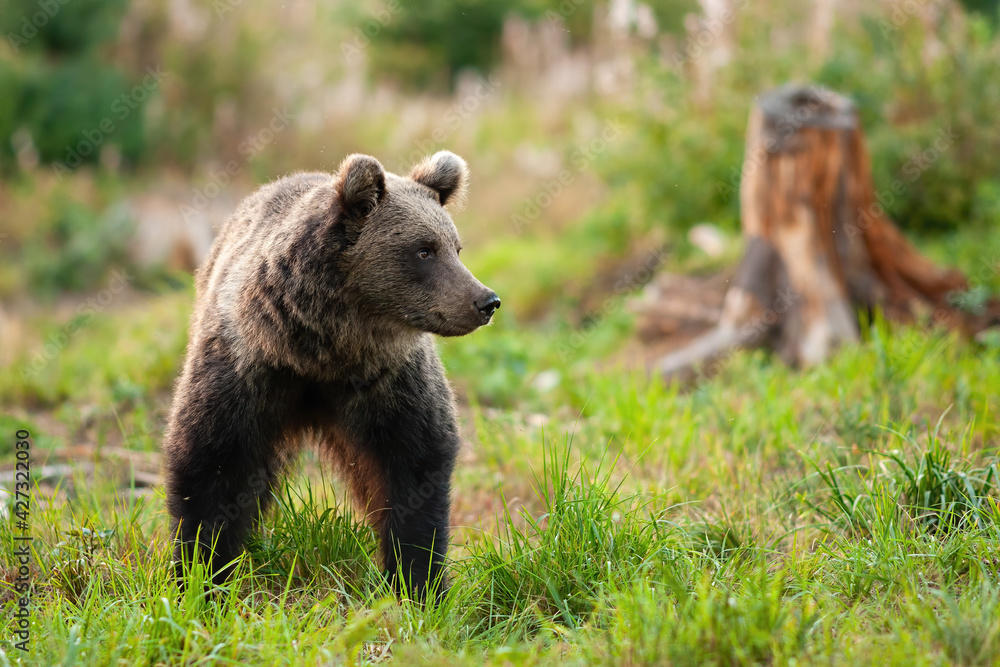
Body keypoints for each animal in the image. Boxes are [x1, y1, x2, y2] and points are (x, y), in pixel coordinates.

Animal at [162, 151, 499, 599]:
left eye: (455, 247)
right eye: (424, 250)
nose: (486, 301)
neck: (322, 352)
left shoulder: (390, 382)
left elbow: (415, 468)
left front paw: (417, 580)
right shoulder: (245, 369)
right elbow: (210, 463)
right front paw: (201, 575)